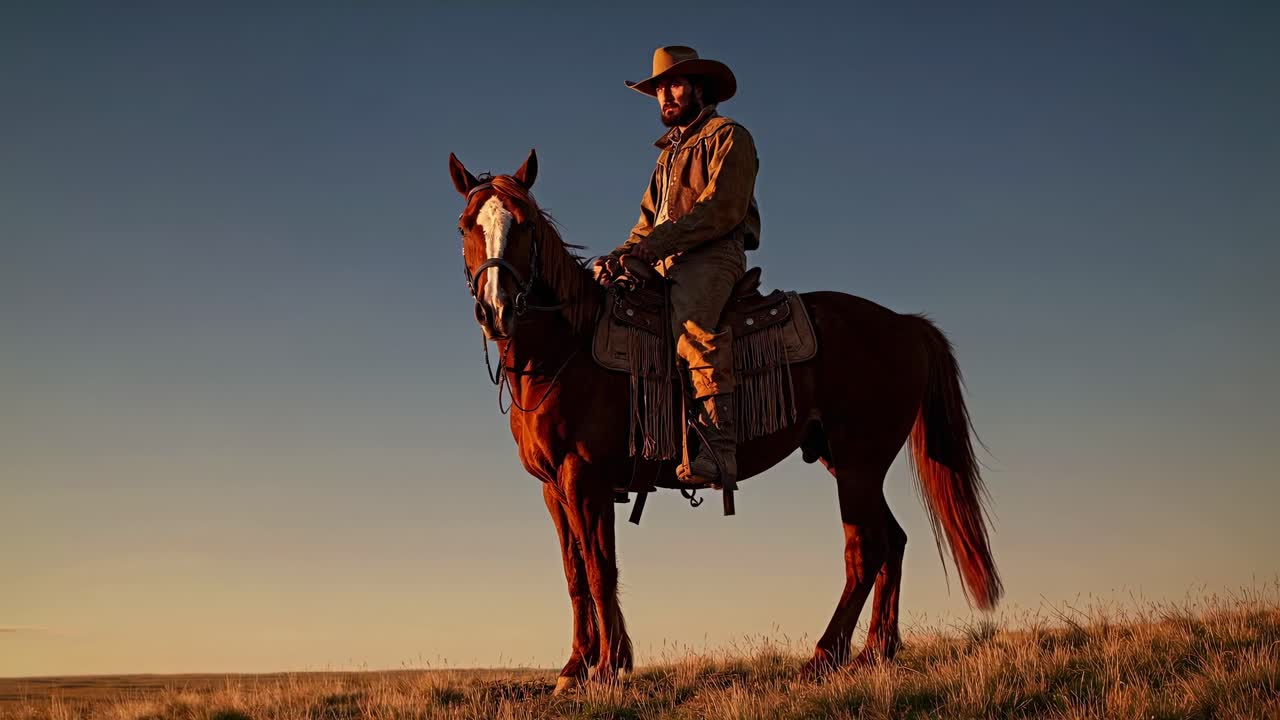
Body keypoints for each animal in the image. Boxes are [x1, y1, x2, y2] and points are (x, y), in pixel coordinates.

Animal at [448, 149, 1002, 693]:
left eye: (523, 224)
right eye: (464, 225)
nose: (496, 310)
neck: (567, 349)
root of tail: (905, 324)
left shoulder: (585, 478)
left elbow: (599, 567)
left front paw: (606, 669)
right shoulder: (553, 487)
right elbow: (574, 572)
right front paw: (576, 667)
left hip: (859, 463)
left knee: (865, 548)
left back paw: (824, 658)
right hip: (847, 462)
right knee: (892, 541)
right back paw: (874, 653)